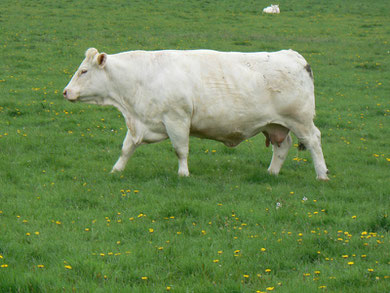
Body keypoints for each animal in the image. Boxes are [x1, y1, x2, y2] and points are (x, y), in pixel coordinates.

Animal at [63, 48, 330, 179]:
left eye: (84, 71)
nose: (65, 92)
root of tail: (292, 55)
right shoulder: (141, 123)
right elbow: (126, 148)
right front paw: (116, 170)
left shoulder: (177, 119)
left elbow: (180, 150)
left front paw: (183, 174)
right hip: (275, 125)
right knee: (282, 147)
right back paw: (271, 173)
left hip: (301, 120)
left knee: (314, 141)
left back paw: (322, 175)